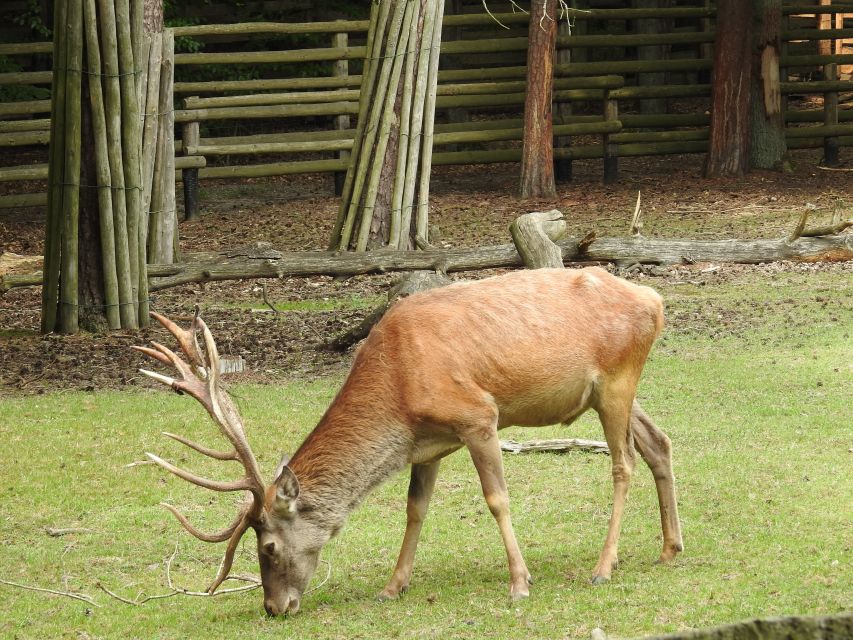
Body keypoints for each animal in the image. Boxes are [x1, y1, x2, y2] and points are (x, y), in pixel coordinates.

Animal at [136, 264, 684, 616]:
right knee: (659, 441)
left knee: (623, 462)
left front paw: (519, 583)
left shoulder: (478, 416)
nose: (273, 608)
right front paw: (393, 586)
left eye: (268, 546)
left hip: (617, 379)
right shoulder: (430, 442)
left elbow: (497, 499)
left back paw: (604, 566)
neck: (398, 390)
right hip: (610, 392)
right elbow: (415, 508)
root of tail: (655, 301)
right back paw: (669, 548)